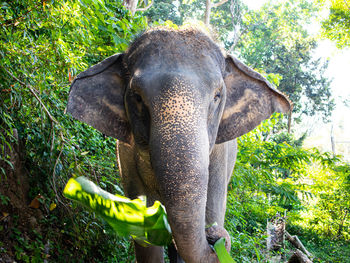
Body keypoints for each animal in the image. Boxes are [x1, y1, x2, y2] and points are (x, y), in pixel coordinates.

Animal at [67, 27, 292, 263]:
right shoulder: (127, 160)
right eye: (137, 97)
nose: (214, 237)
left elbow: (211, 212)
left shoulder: (220, 156)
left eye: (217, 96)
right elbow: (146, 237)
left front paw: (209, 226)